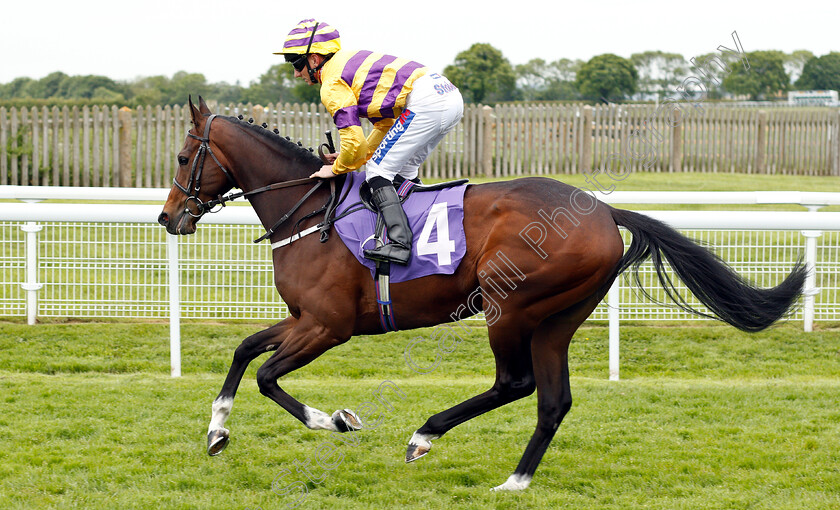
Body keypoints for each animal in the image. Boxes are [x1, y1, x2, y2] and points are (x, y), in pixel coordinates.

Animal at [158, 97, 808, 492]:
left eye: (185, 156)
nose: (168, 218)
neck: (311, 211)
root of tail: (603, 212)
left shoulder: (328, 325)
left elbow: (268, 375)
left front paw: (337, 420)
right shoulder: (302, 319)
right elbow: (244, 350)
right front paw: (216, 432)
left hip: (511, 306)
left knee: (515, 383)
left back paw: (425, 435)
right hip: (558, 318)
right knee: (553, 400)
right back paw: (515, 481)